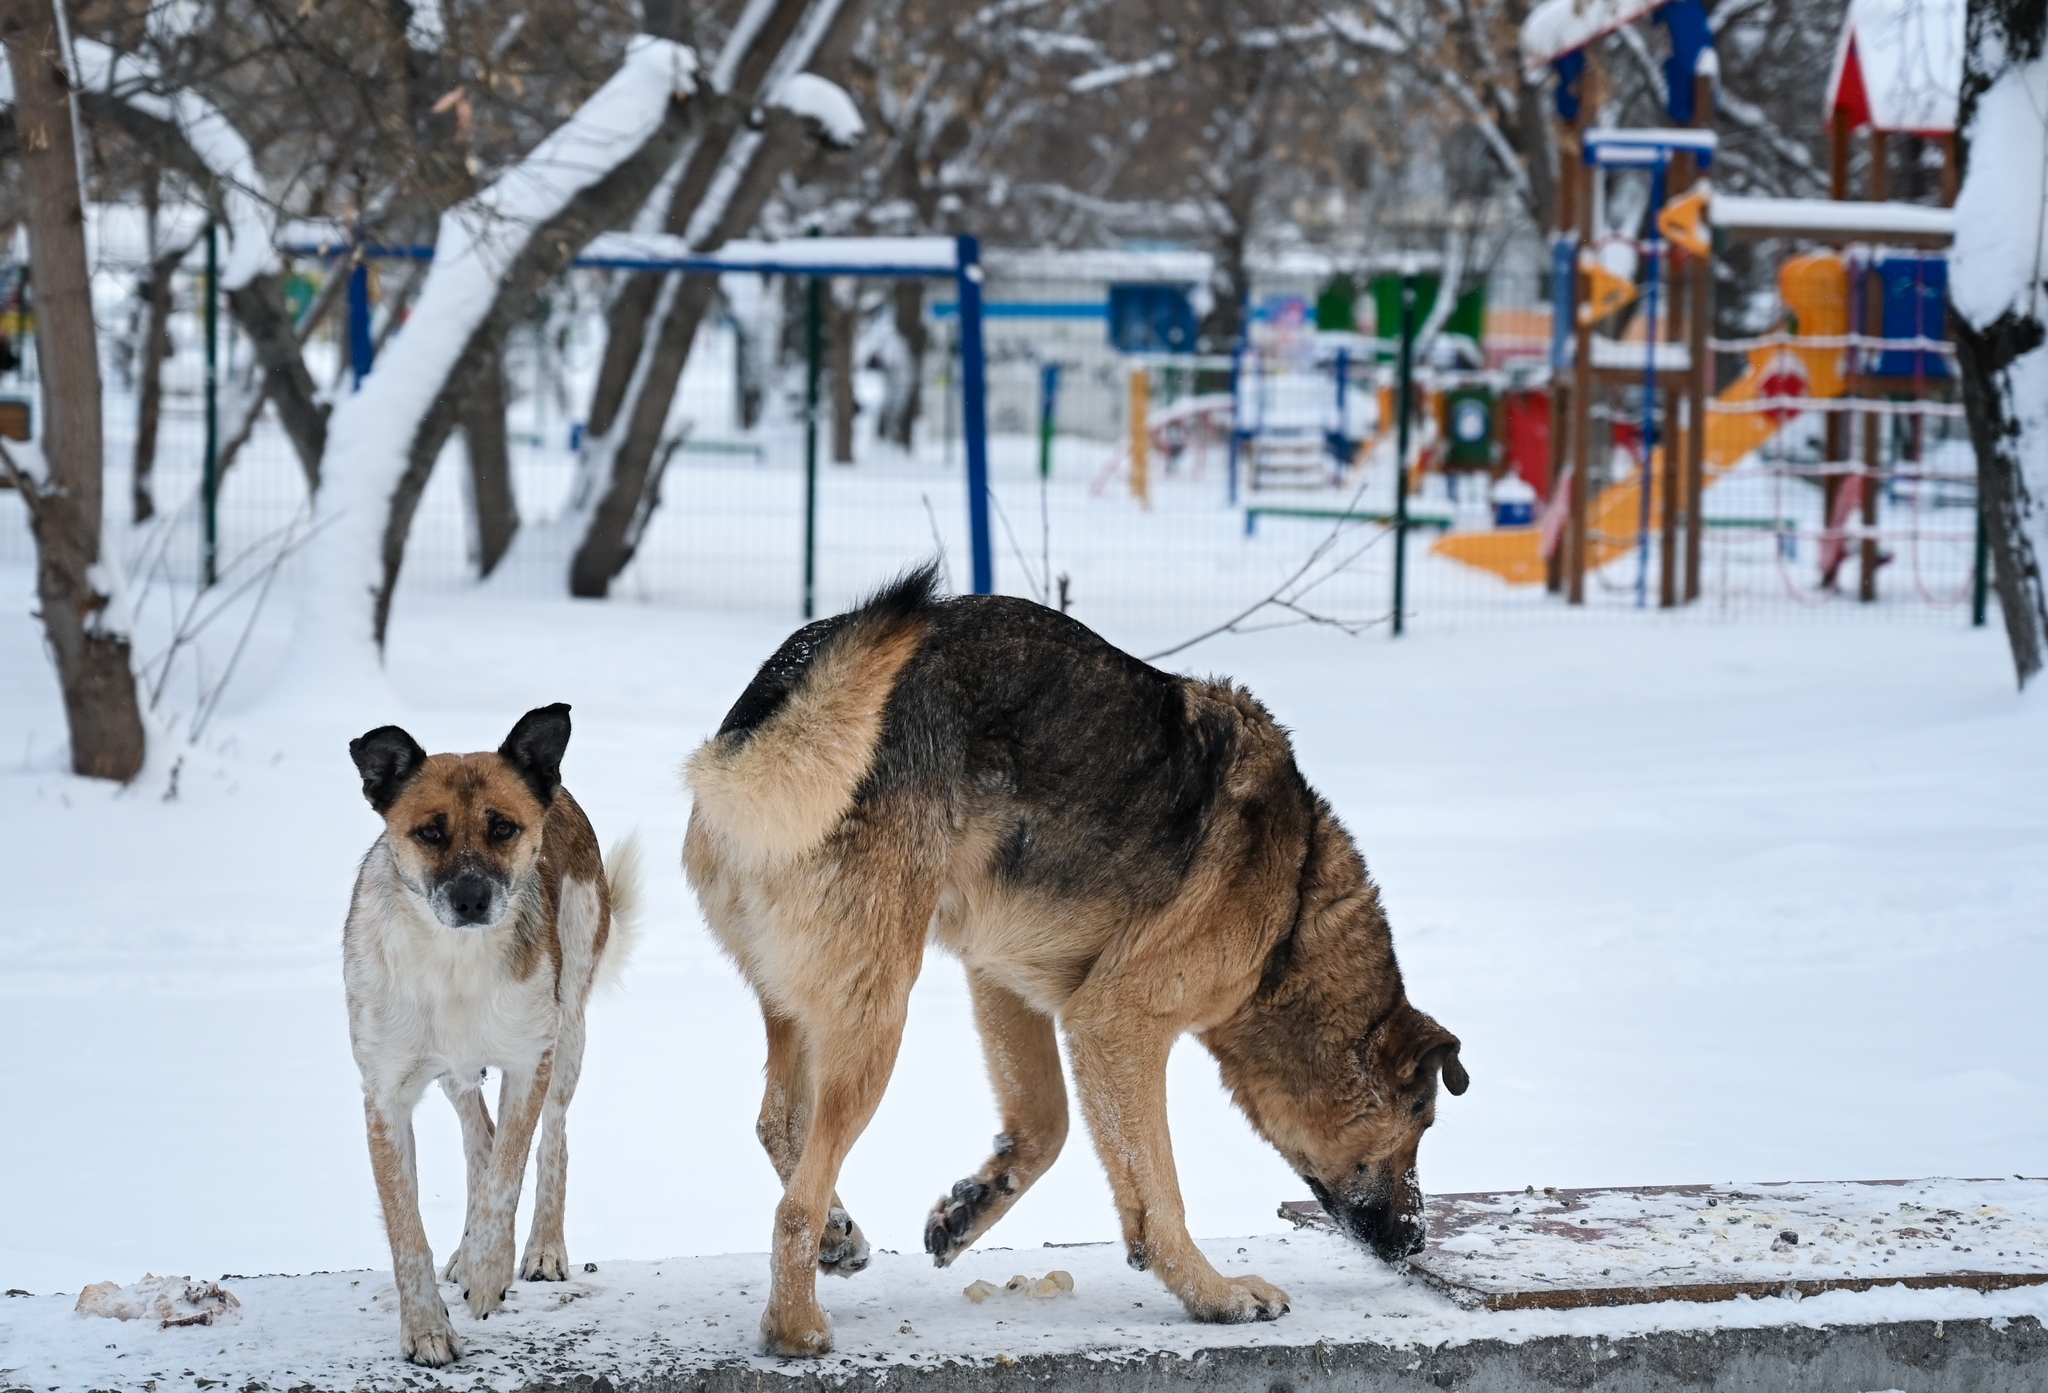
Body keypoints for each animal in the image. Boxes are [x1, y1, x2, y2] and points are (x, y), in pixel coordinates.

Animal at [342, 700, 638, 1368]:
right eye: (430, 832)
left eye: (502, 828)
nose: (472, 898)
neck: (455, 963)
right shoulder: (385, 1094)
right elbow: (407, 1227)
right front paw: (427, 1328)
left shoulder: (531, 1060)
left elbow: (508, 1173)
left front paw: (487, 1271)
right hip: (456, 1073)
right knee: (479, 1135)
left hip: (569, 1027)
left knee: (549, 1139)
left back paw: (539, 1249)